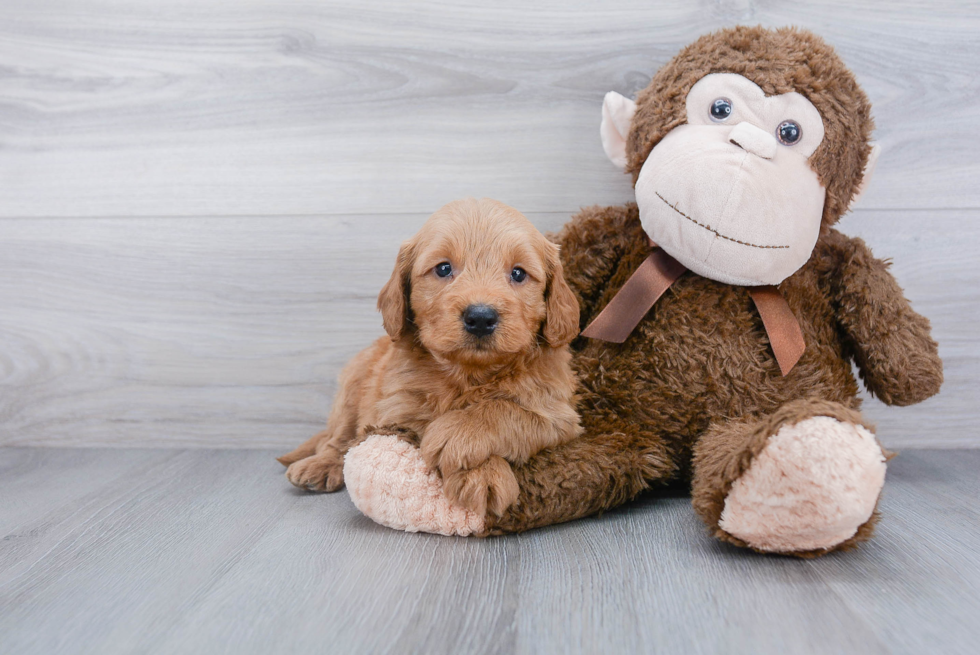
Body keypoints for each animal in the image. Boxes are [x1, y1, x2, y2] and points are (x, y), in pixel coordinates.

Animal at [276, 197, 580, 516]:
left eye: (519, 273)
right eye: (443, 268)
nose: (480, 317)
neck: (471, 372)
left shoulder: (558, 414)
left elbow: (505, 409)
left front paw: (463, 442)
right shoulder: (397, 409)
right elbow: (426, 420)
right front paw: (483, 473)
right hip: (352, 385)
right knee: (338, 438)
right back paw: (320, 465)